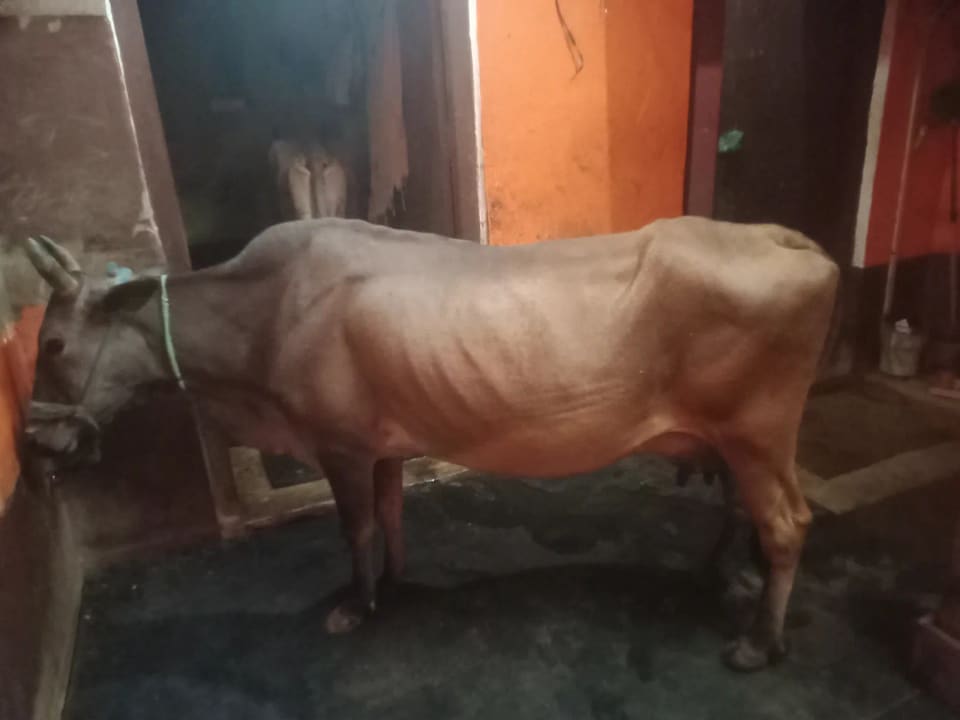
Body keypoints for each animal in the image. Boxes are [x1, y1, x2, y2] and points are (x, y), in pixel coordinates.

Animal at [22, 216, 838, 671]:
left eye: (54, 343)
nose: (39, 441)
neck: (265, 317)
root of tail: (784, 238)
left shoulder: (340, 445)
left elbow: (354, 528)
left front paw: (357, 604)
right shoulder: (382, 445)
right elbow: (389, 515)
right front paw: (396, 581)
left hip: (759, 432)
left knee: (789, 524)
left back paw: (759, 644)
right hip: (733, 439)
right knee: (745, 512)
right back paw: (719, 573)